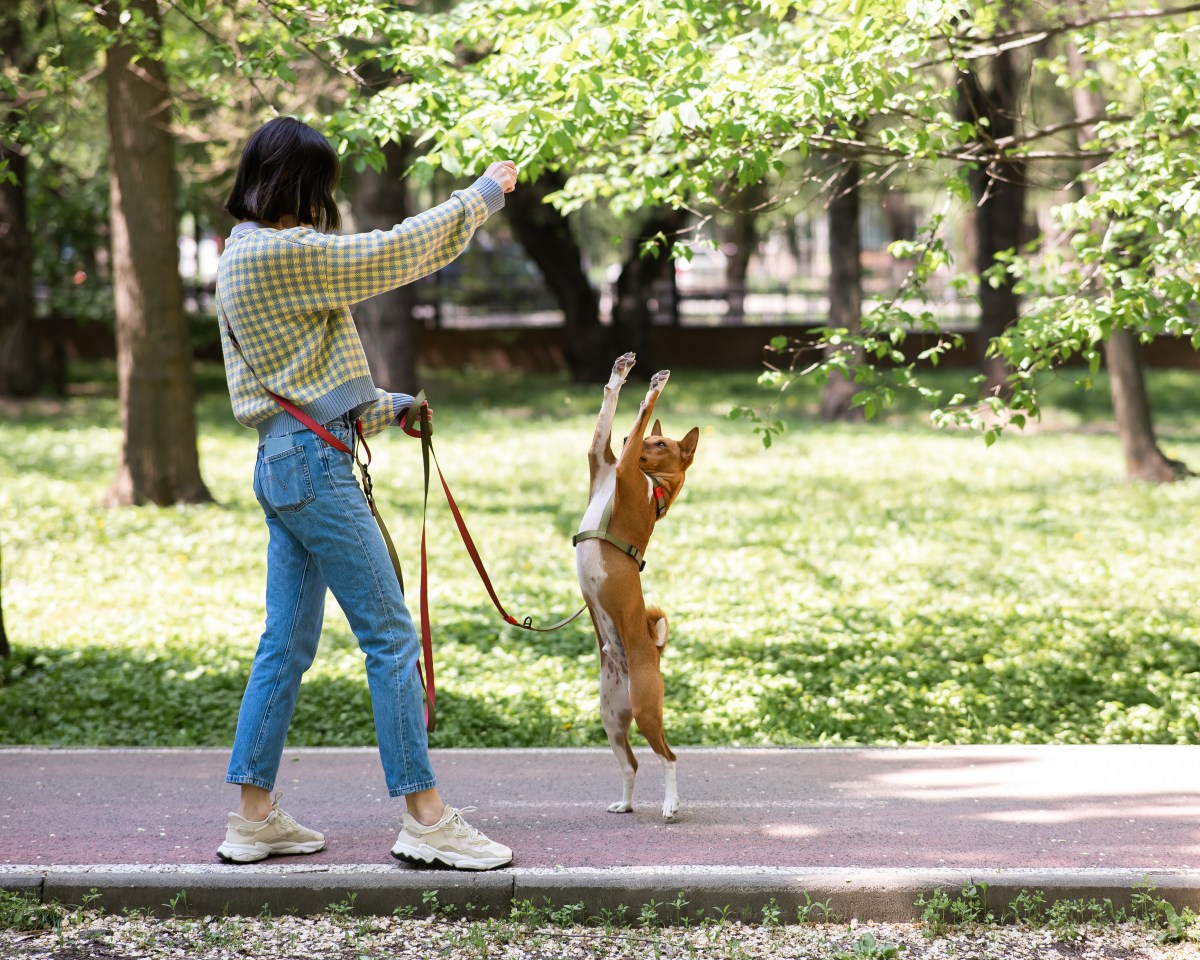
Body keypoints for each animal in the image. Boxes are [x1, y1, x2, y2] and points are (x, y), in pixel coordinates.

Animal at [573, 352, 700, 816]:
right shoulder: (603, 458)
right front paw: (621, 371)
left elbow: (645, 408)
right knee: (632, 764)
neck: (652, 486)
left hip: (646, 710)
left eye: (661, 444)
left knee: (669, 757)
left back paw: (671, 805)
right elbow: (609, 407)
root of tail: (652, 654)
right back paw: (626, 804)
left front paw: (655, 385)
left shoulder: (623, 466)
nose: (632, 437)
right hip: (612, 719)